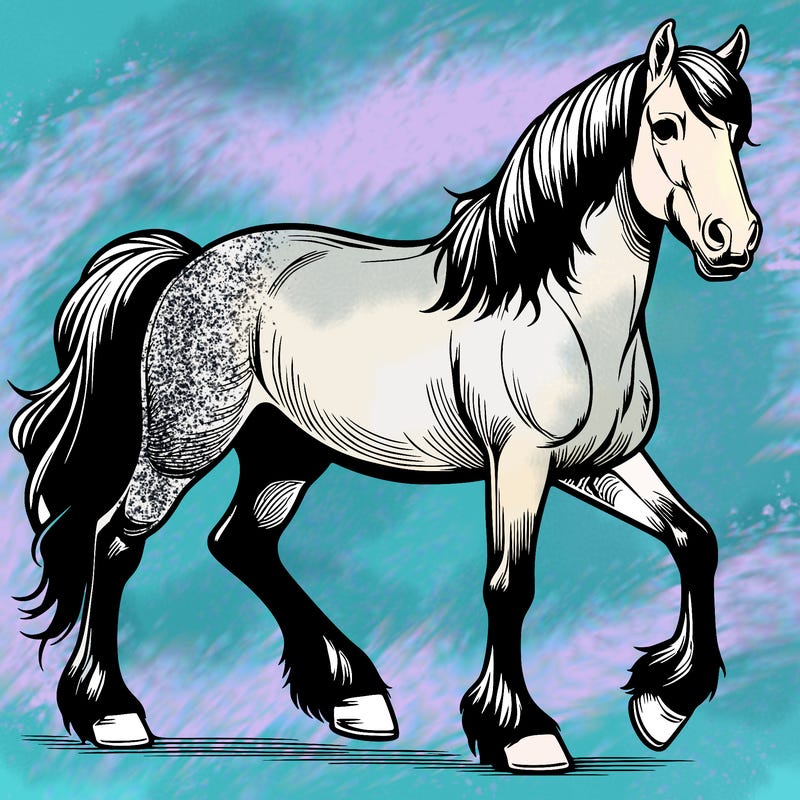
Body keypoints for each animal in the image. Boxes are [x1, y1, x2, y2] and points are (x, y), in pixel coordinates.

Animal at [10, 20, 761, 773]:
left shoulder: (599, 463)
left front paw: (663, 706)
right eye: (664, 125)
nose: (735, 240)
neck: (560, 309)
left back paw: (355, 697)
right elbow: (509, 585)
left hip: (286, 452)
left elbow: (695, 539)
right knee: (115, 542)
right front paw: (522, 733)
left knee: (242, 543)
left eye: (738, 130)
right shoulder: (520, 463)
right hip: (180, 450)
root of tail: (189, 262)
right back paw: (112, 714)